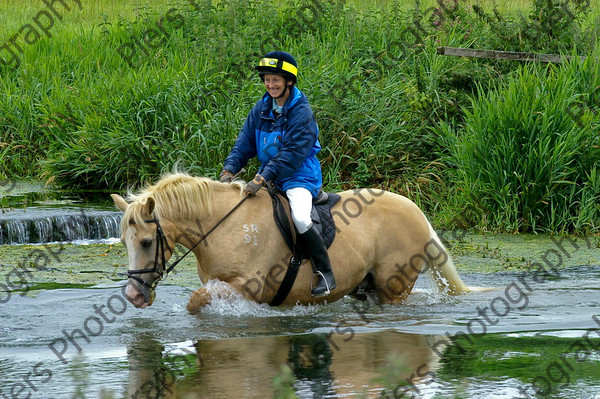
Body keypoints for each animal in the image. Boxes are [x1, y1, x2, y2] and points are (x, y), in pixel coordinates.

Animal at [111, 173, 468, 314]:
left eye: (146, 242)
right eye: (125, 242)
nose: (133, 295)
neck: (225, 226)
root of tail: (416, 211)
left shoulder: (247, 287)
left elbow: (195, 301)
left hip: (394, 289)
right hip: (369, 287)